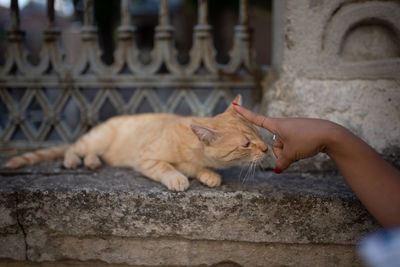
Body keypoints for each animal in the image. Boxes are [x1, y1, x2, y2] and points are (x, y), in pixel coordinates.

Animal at [4, 95, 268, 192]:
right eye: (246, 144)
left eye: (259, 134)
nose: (266, 149)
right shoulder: (147, 158)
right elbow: (166, 167)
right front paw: (177, 179)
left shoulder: (187, 161)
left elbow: (193, 167)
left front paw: (208, 175)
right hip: (96, 140)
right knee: (74, 148)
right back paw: (74, 160)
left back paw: (92, 162)